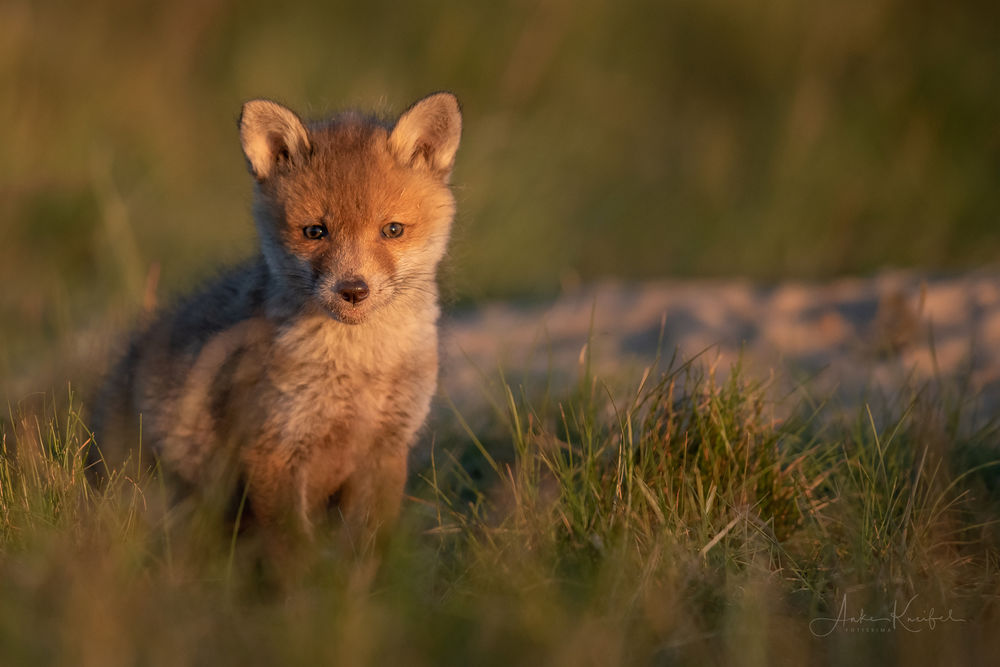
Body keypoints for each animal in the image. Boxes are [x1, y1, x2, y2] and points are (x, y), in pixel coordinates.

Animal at [89, 92, 460, 548]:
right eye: (315, 231)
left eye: (392, 230)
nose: (353, 290)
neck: (359, 371)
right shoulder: (273, 447)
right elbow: (293, 548)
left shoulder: (387, 447)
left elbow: (370, 545)